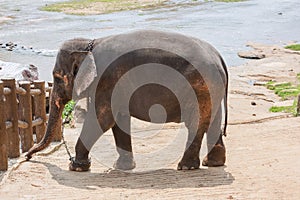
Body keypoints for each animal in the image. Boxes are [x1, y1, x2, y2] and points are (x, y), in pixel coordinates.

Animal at [25, 29, 229, 172]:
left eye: (57, 77)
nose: (27, 156)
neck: (89, 43)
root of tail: (219, 58)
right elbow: (119, 119)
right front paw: (122, 167)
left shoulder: (105, 79)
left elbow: (102, 120)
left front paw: (76, 167)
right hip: (212, 89)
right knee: (212, 121)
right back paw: (212, 163)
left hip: (200, 87)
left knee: (196, 124)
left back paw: (185, 166)